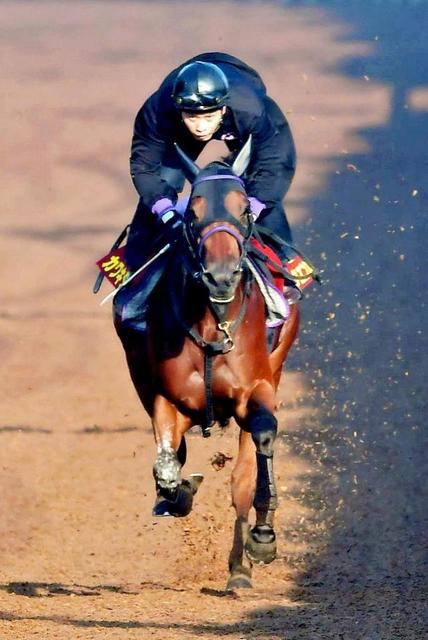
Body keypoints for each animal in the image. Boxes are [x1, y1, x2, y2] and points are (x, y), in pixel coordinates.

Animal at [115, 140, 300, 592]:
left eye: (245, 209)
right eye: (192, 213)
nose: (220, 276)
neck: (212, 324)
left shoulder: (258, 389)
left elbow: (260, 447)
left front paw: (263, 539)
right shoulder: (167, 399)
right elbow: (166, 466)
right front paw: (177, 492)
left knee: (242, 479)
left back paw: (240, 568)